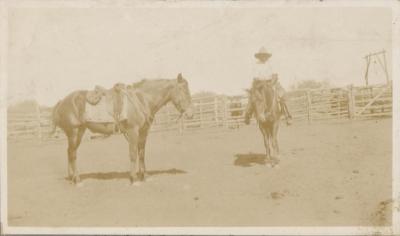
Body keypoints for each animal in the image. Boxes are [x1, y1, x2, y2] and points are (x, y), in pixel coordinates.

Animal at [52, 73, 193, 184]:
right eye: (184, 90)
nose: (190, 114)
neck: (141, 99)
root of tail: (62, 101)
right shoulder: (133, 131)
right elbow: (133, 154)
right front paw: (134, 179)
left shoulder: (143, 132)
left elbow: (141, 153)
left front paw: (144, 176)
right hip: (73, 132)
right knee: (72, 154)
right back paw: (77, 180)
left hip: (79, 132)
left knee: (69, 152)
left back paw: (71, 177)